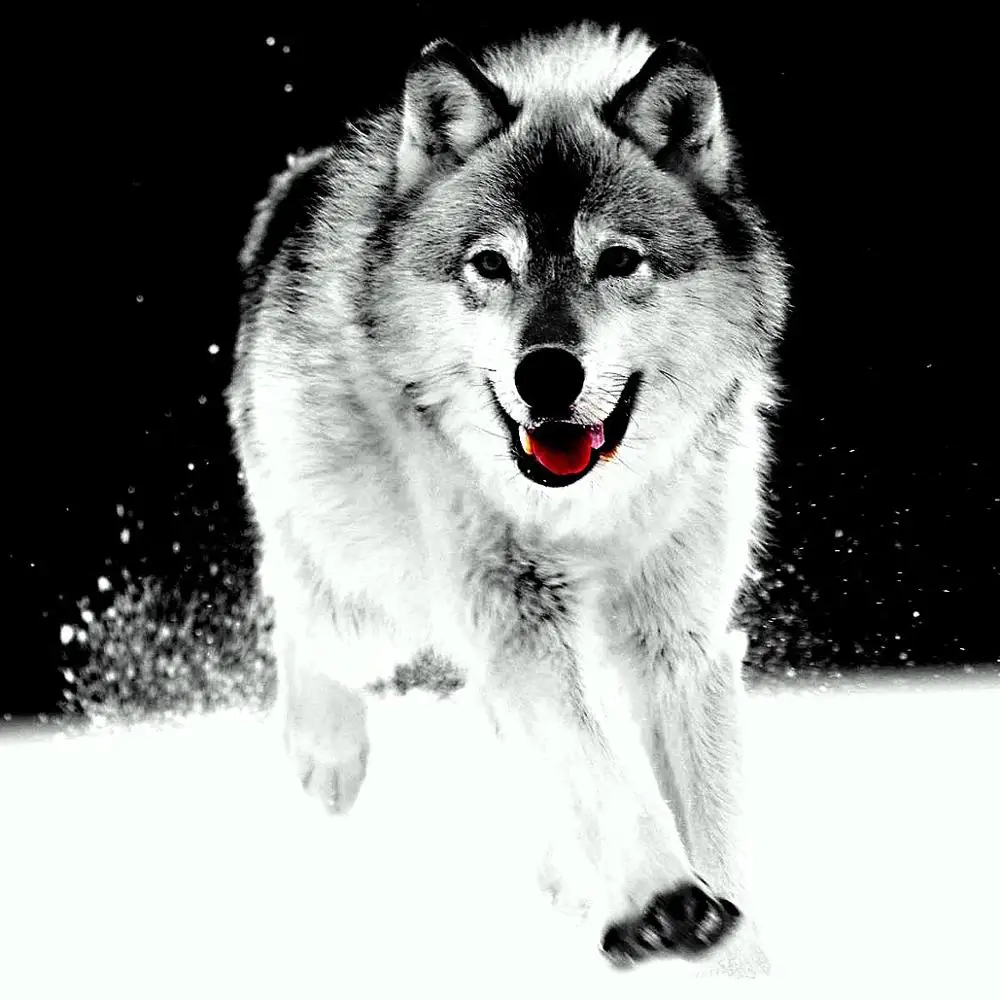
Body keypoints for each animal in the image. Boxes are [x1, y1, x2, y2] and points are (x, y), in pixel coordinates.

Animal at [227, 22, 788, 977]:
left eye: (618, 261)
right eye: (491, 264)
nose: (546, 373)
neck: (588, 510)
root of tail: (302, 176)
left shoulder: (679, 641)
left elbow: (709, 825)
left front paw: (731, 958)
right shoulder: (515, 618)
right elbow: (598, 768)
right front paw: (667, 902)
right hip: (371, 607)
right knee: (299, 615)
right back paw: (327, 757)